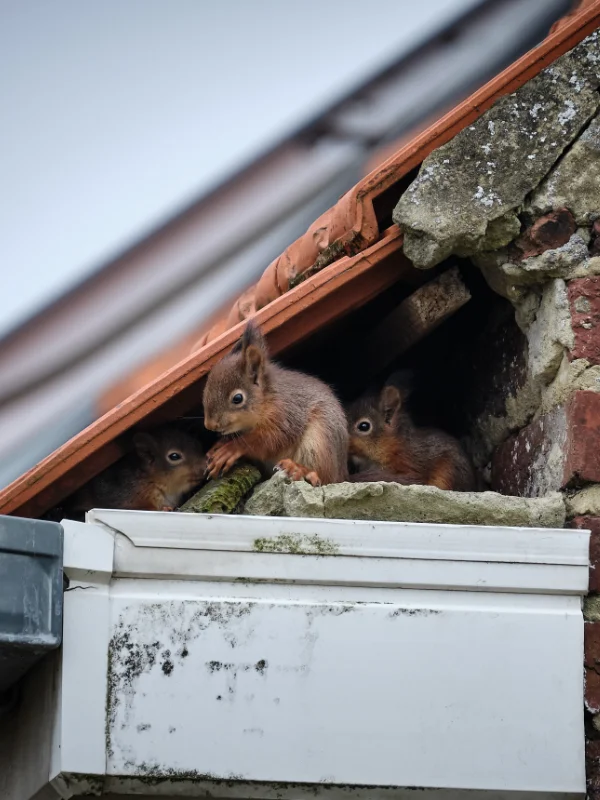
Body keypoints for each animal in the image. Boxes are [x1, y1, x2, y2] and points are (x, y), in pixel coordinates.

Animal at [202, 320, 348, 486]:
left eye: (237, 398)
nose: (209, 425)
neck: (267, 399)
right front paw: (218, 445)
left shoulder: (285, 413)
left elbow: (271, 439)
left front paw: (230, 449)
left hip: (320, 440)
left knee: (324, 477)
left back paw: (298, 469)